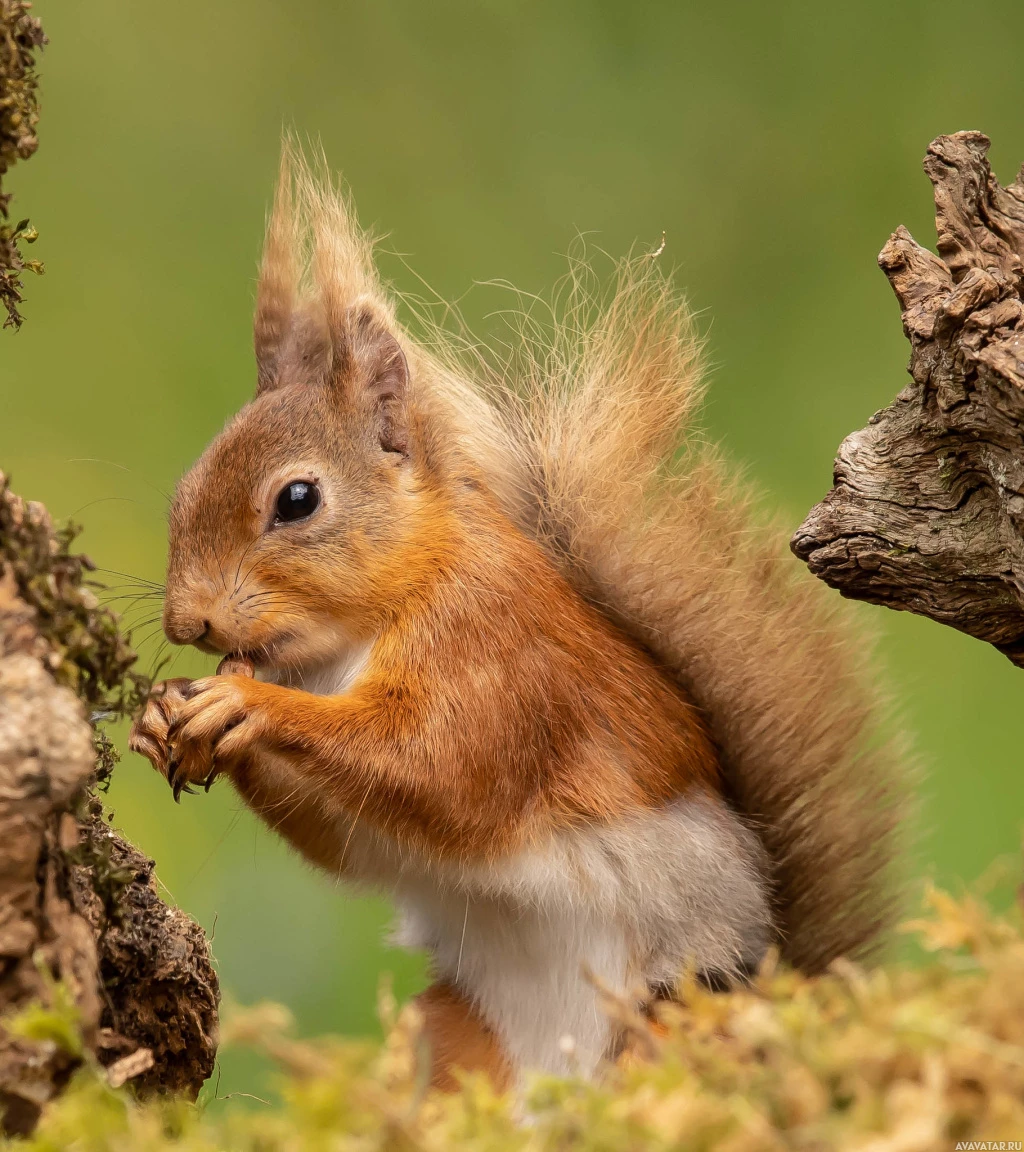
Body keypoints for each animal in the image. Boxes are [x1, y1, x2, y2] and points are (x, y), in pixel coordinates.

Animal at [126, 150, 903, 1087]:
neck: (359, 634)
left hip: (665, 1020)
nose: (187, 623)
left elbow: (437, 767)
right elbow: (351, 840)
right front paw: (165, 714)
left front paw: (248, 706)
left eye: (298, 500)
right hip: (455, 1031)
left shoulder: (499, 659)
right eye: (182, 488)